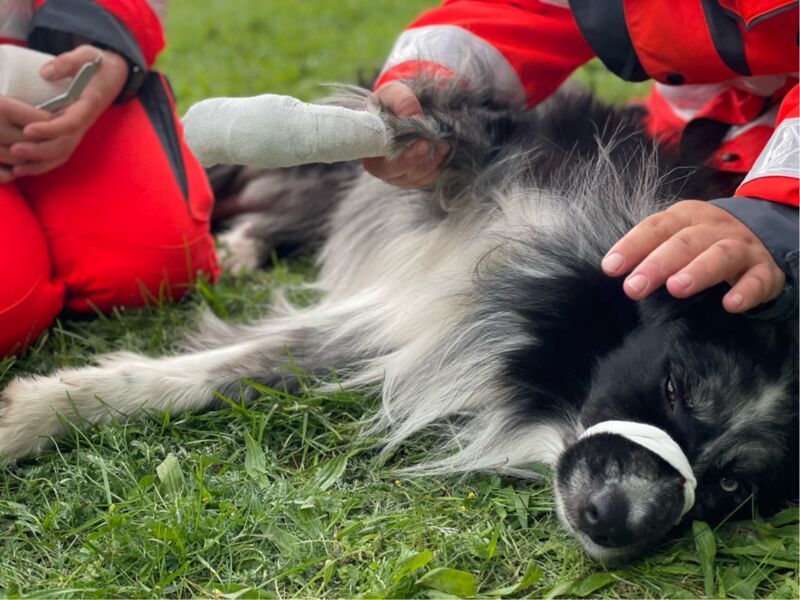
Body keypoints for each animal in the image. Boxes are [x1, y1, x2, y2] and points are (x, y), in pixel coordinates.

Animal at [3, 81, 796, 568]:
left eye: (733, 488)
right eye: (674, 389)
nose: (616, 521)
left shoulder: (397, 334)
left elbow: (231, 371)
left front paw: (35, 410)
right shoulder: (472, 183)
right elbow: (411, 132)